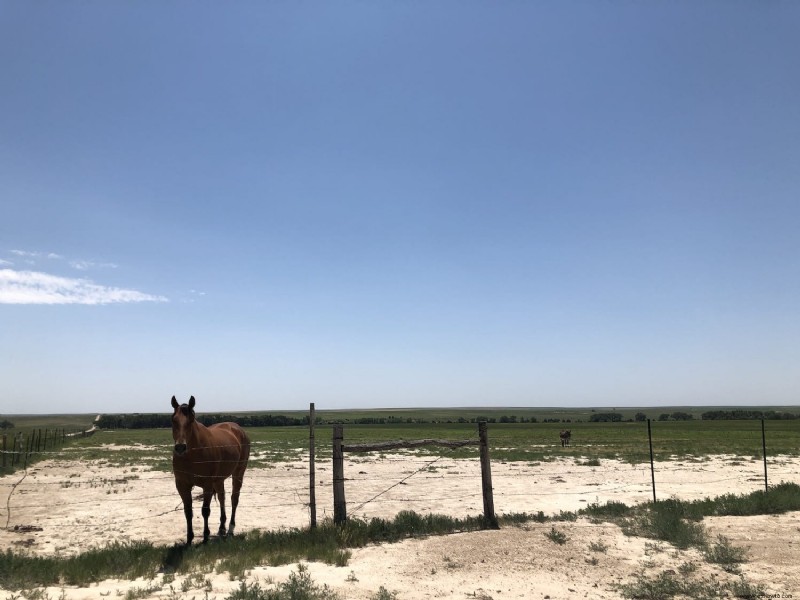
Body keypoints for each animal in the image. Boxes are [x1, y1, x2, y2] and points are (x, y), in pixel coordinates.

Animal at [171, 396, 250, 548]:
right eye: (174, 420)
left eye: (191, 420)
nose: (180, 447)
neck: (192, 455)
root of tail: (237, 428)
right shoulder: (182, 485)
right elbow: (188, 512)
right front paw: (189, 539)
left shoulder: (207, 484)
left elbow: (205, 510)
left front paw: (206, 537)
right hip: (219, 479)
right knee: (222, 497)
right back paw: (222, 527)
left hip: (238, 472)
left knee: (234, 499)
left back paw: (230, 528)